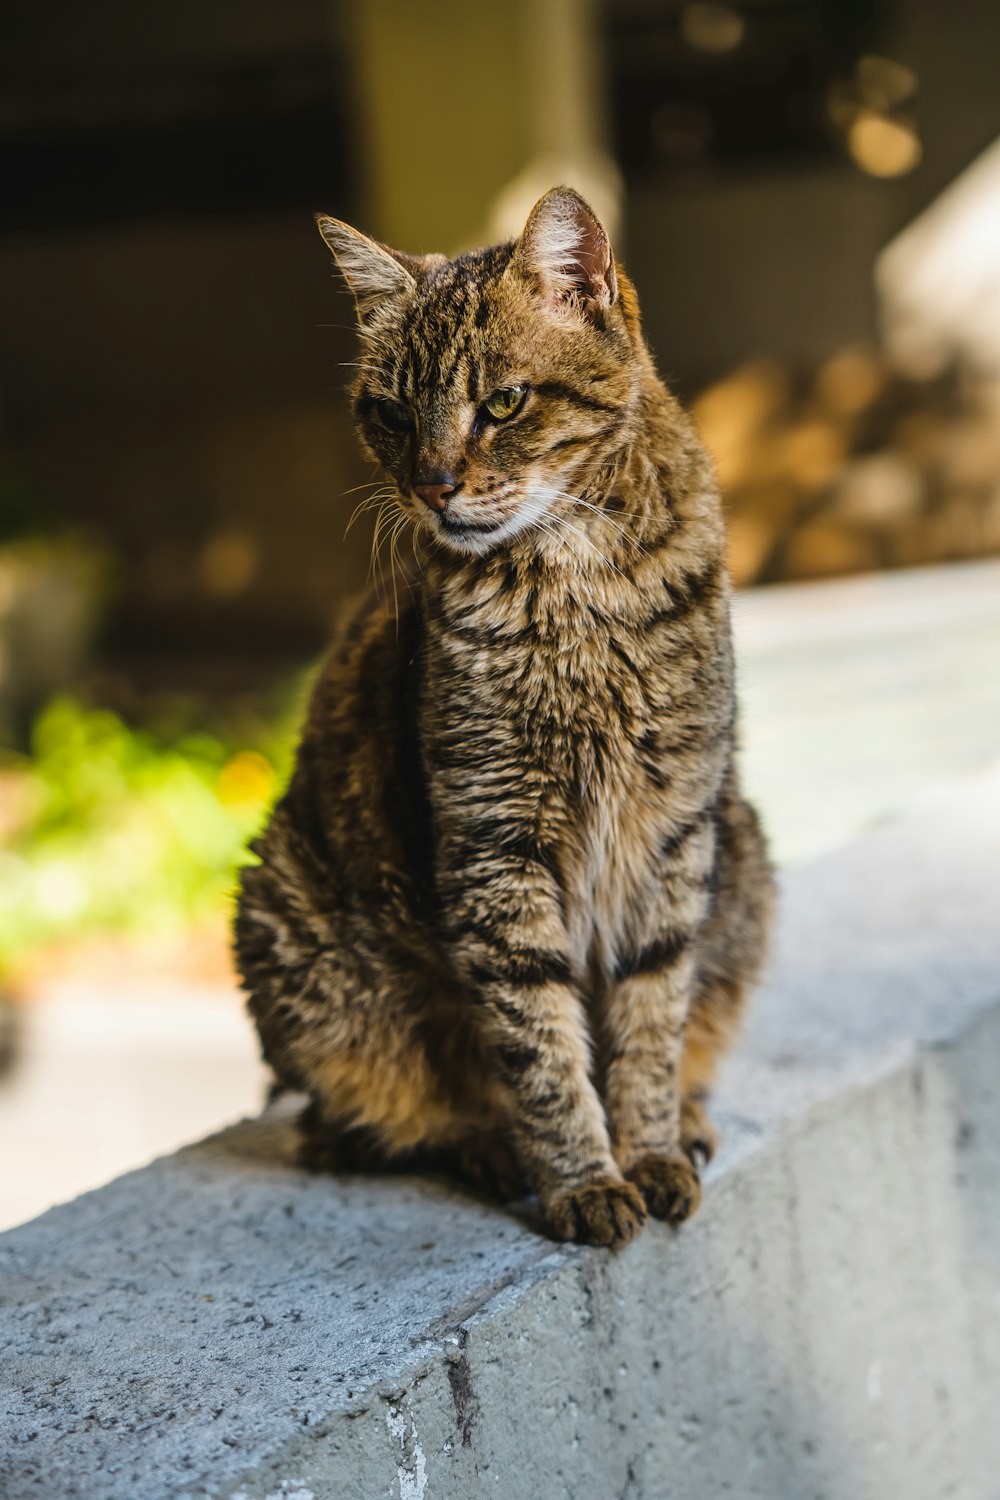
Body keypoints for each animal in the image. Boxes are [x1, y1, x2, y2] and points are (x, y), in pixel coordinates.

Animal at [236, 184, 773, 1242]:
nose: (432, 484)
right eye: (391, 413)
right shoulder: (494, 841)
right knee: (365, 1118)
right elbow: (539, 1042)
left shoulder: (672, 830)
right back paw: (484, 1143)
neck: (576, 590)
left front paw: (649, 1147)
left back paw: (687, 1121)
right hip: (294, 924)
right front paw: (584, 1180)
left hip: (745, 856)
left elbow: (651, 1020)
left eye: (504, 403)